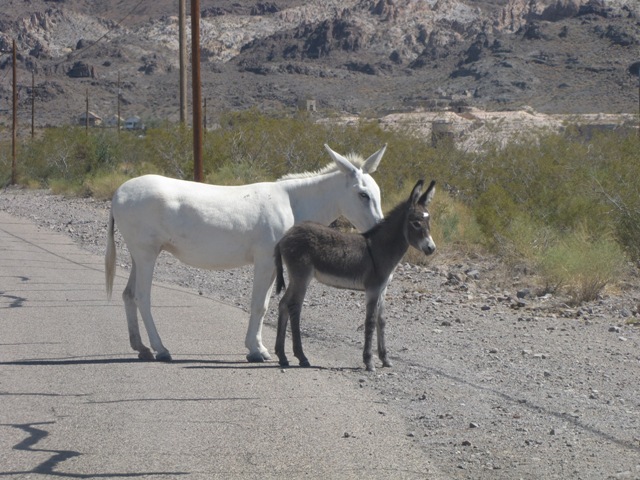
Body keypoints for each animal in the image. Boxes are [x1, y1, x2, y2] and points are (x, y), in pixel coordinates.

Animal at [276, 178, 436, 370]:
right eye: (416, 223)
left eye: (429, 221)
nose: (431, 248)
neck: (381, 248)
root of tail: (285, 236)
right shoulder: (373, 289)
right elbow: (370, 321)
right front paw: (369, 361)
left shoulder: (383, 290)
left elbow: (382, 320)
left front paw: (385, 359)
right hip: (302, 276)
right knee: (294, 306)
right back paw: (301, 357)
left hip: (295, 277)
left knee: (284, 303)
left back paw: (282, 356)